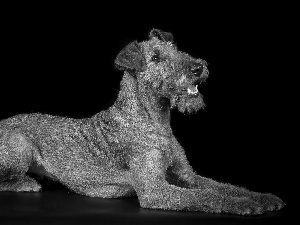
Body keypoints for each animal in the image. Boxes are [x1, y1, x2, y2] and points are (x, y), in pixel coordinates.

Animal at [0, 29, 284, 215]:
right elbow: (206, 196)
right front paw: (246, 205)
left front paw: (263, 198)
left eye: (175, 49)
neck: (156, 123)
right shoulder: (154, 189)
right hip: (19, 146)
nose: (198, 67)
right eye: (156, 58)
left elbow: (225, 187)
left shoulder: (187, 175)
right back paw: (28, 183)